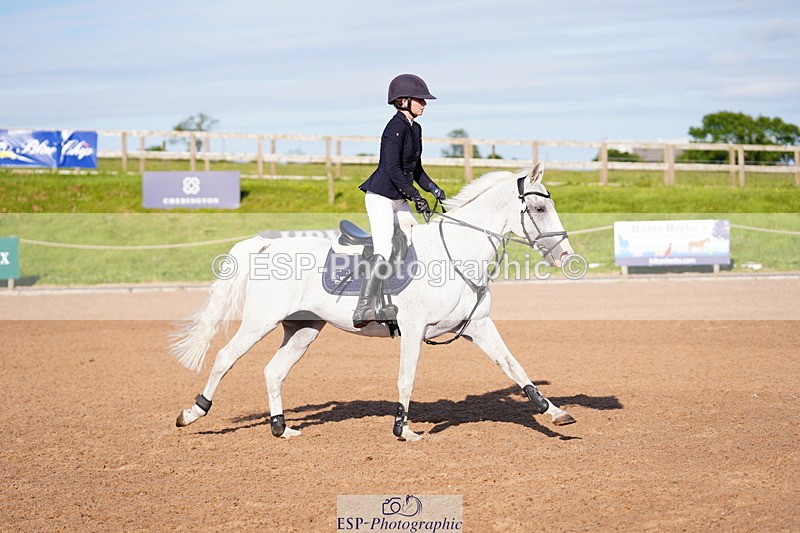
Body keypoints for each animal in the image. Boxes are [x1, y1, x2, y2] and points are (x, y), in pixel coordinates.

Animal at [170, 163, 577, 441]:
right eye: (539, 210)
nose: (565, 256)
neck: (456, 254)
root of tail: (268, 244)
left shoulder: (478, 327)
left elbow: (515, 367)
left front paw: (555, 413)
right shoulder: (414, 329)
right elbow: (406, 378)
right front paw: (403, 429)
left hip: (303, 328)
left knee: (273, 371)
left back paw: (281, 428)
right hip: (261, 321)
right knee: (225, 357)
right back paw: (192, 413)